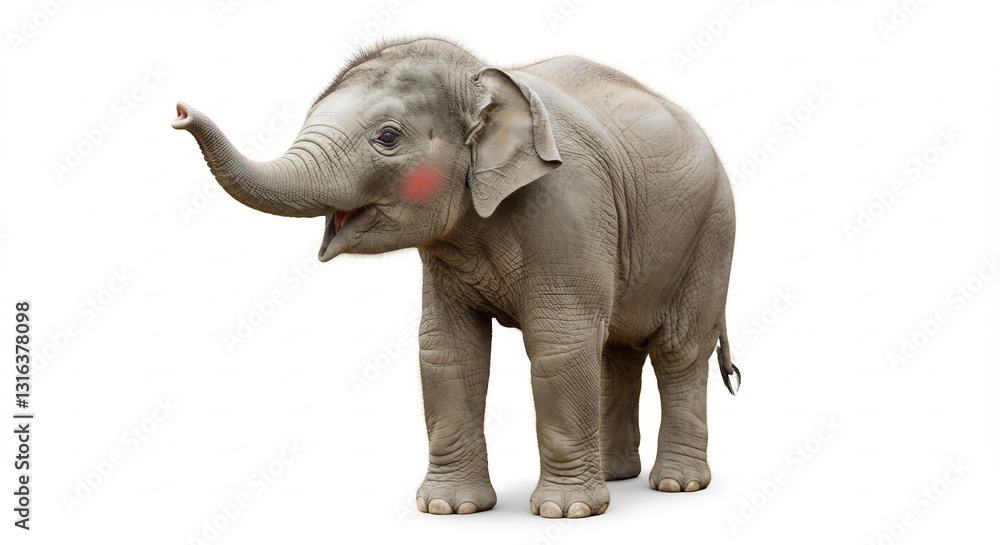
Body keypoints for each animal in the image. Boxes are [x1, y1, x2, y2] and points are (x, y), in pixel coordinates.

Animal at [173, 37, 740, 519]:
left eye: (387, 137)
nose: (179, 112)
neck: (485, 80)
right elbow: (447, 349)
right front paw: (450, 509)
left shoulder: (570, 205)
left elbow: (559, 344)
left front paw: (567, 512)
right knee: (615, 352)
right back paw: (616, 475)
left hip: (712, 235)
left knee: (678, 351)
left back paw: (677, 485)